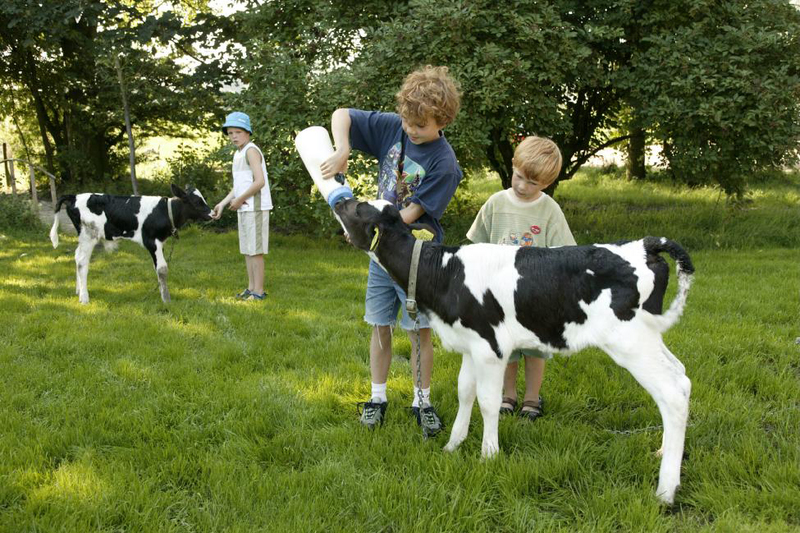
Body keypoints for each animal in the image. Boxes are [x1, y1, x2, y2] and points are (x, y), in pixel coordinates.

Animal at [48, 183, 212, 302]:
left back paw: (78, 290)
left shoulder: (160, 243)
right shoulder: (152, 241)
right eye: (197, 201)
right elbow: (162, 269)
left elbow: (158, 268)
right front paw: (166, 299)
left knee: (77, 256)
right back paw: (84, 297)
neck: (164, 212)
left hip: (83, 237)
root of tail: (74, 196)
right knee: (82, 261)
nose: (212, 214)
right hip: (89, 235)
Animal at [332, 197, 692, 504]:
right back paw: (663, 454)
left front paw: (488, 455)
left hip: (630, 341)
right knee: (682, 378)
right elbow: (465, 393)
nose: (338, 200)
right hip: (648, 338)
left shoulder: (490, 348)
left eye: (359, 208)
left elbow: (488, 402)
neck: (445, 273)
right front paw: (453, 444)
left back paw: (666, 490)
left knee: (671, 392)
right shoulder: (470, 345)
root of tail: (645, 244)